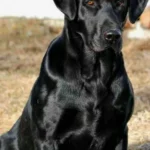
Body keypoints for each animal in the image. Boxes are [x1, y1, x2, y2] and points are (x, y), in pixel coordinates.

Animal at [0, 0, 148, 150]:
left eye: (121, 3)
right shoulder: (47, 137)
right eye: (90, 3)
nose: (113, 36)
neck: (95, 74)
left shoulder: (119, 132)